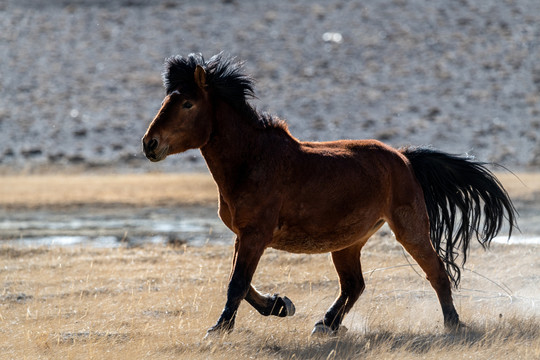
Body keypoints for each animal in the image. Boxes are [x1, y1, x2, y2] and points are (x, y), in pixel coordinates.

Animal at [141, 53, 516, 338]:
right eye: (164, 101)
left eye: (187, 103)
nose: (150, 144)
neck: (253, 160)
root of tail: (404, 157)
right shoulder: (243, 237)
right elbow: (242, 283)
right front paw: (281, 305)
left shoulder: (255, 235)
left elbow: (237, 283)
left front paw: (219, 328)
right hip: (348, 242)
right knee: (354, 285)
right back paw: (326, 324)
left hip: (408, 229)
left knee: (435, 271)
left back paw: (452, 325)